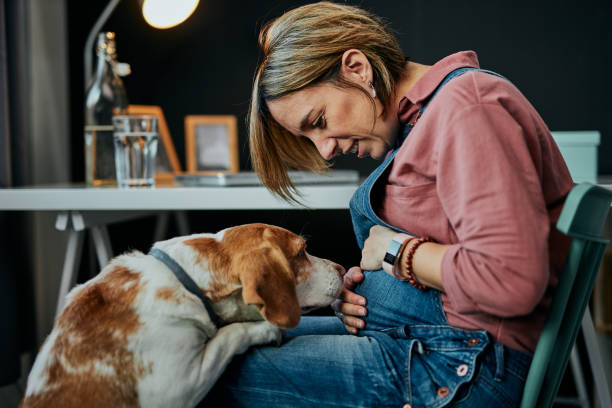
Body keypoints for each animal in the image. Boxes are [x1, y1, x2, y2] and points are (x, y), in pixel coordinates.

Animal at [20, 223, 344, 408]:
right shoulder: (177, 386)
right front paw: (265, 329)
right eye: (301, 253)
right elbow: (227, 336)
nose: (342, 269)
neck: (184, 280)